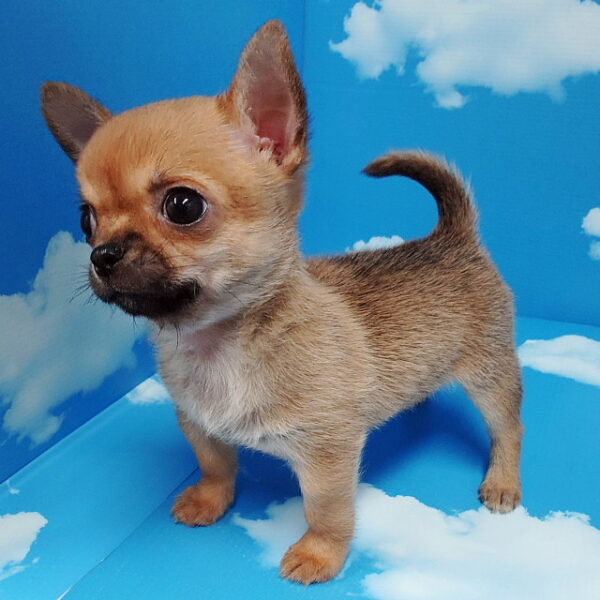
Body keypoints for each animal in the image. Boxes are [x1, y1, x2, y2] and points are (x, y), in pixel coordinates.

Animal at [41, 19, 523, 585]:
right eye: (86, 220)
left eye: (183, 206)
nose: (103, 254)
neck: (221, 346)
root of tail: (453, 236)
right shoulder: (198, 425)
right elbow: (216, 465)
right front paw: (210, 501)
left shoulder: (327, 457)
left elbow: (326, 510)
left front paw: (320, 554)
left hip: (489, 372)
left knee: (508, 426)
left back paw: (503, 481)